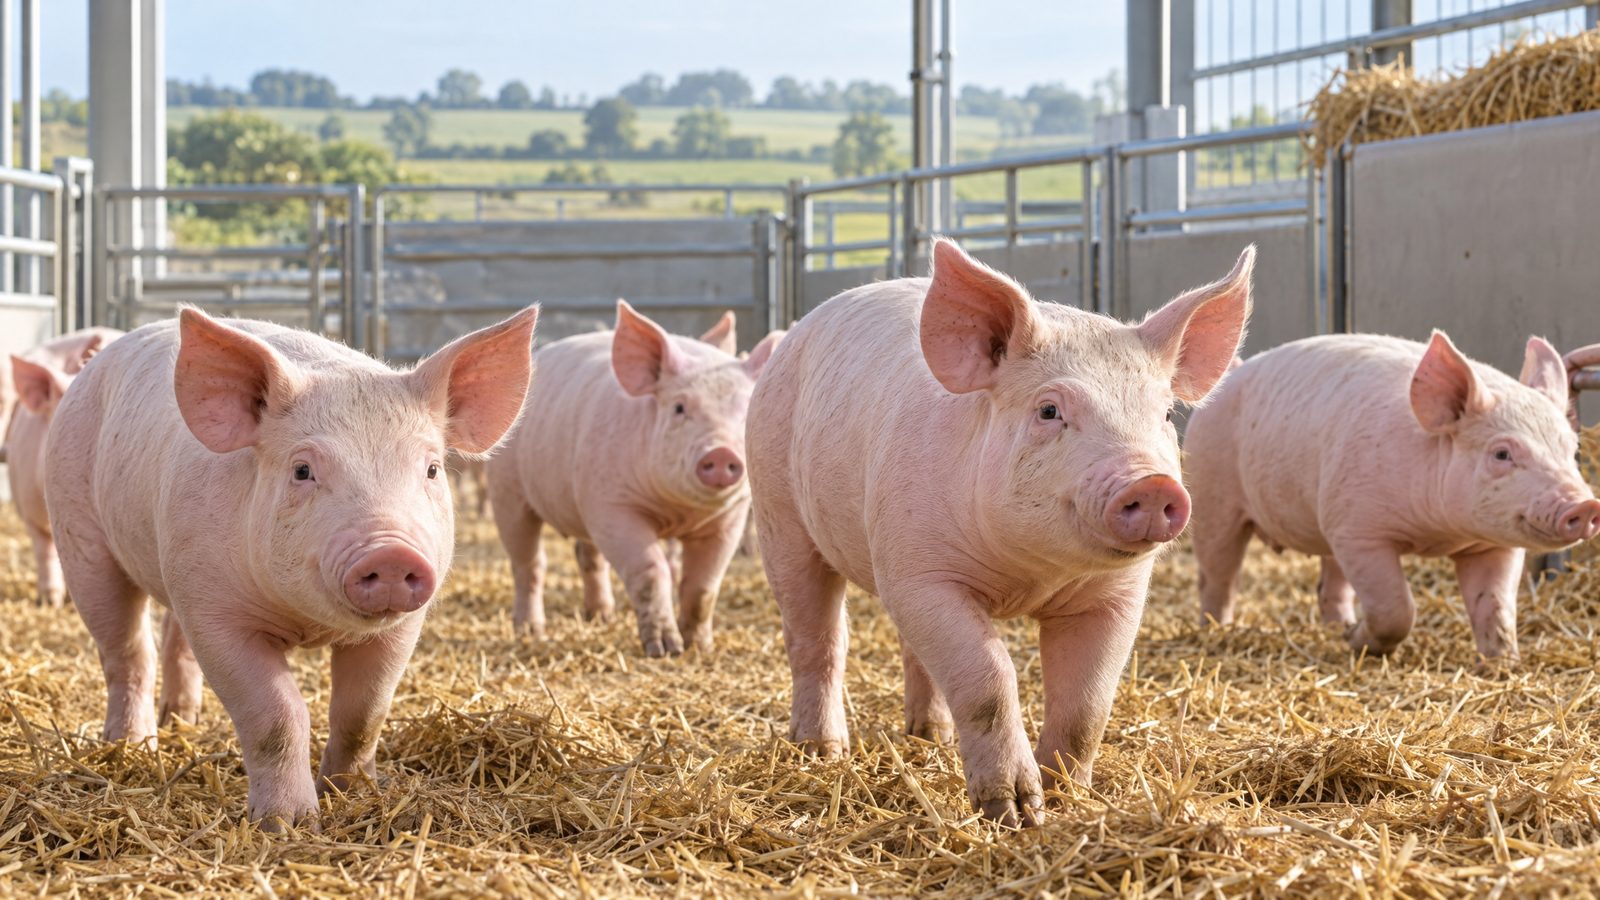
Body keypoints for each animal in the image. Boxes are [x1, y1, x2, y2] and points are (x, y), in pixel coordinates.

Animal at [46, 306, 537, 828]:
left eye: (431, 470)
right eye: (303, 470)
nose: (390, 552)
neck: (309, 626)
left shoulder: (402, 627)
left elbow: (364, 711)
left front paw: (354, 794)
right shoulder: (215, 611)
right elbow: (278, 714)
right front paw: (288, 823)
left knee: (171, 639)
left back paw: (182, 719)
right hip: (80, 534)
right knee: (127, 650)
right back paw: (131, 744)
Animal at [487, 302, 782, 656]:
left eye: (746, 411)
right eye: (679, 408)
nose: (722, 453)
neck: (678, 511)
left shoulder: (729, 519)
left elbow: (703, 584)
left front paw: (699, 647)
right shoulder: (611, 505)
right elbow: (651, 570)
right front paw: (666, 650)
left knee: (586, 554)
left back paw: (601, 617)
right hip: (507, 489)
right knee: (528, 562)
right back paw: (530, 631)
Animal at [745, 239, 1255, 826]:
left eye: (1168, 414)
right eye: (1049, 410)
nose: (1151, 483)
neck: (1030, 578)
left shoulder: (1116, 596)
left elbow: (1088, 703)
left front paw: (1066, 799)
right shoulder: (922, 573)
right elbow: (989, 677)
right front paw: (1012, 814)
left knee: (910, 648)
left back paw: (931, 738)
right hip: (778, 512)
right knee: (817, 636)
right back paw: (822, 751)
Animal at [1186, 331, 1600, 660]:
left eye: (1571, 448)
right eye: (1502, 454)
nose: (1584, 505)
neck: (1438, 535)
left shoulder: (1494, 545)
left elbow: (1495, 605)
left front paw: (1503, 664)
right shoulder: (1360, 530)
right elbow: (1396, 607)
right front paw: (1358, 642)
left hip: (1327, 516)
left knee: (1331, 581)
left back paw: (1338, 625)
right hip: (1212, 496)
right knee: (1218, 575)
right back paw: (1214, 629)